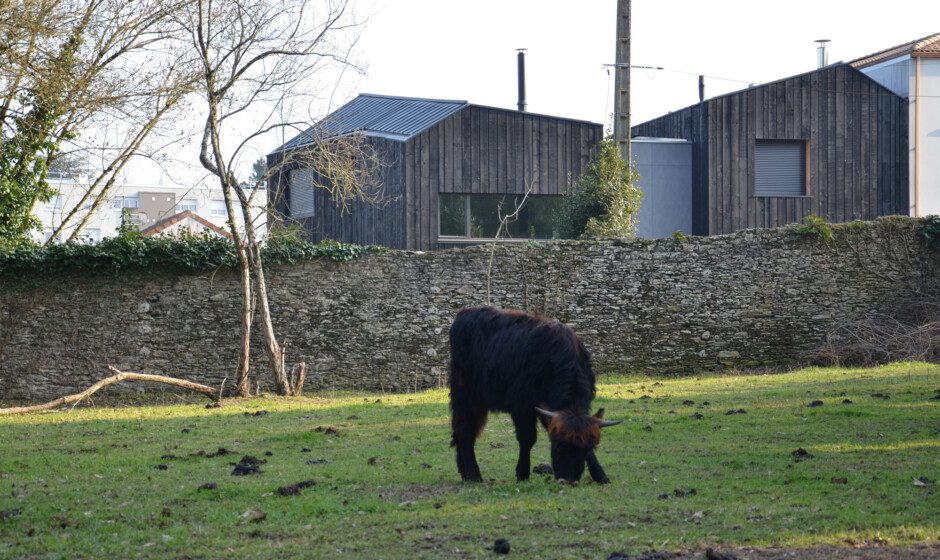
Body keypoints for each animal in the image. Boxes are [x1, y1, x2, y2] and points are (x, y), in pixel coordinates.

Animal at [446, 304, 620, 484]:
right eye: (558, 446)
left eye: (584, 449)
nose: (568, 480)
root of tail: (465, 313)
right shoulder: (522, 406)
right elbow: (527, 438)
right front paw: (522, 472)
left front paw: (600, 475)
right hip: (466, 396)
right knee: (464, 431)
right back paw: (474, 475)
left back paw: (465, 473)